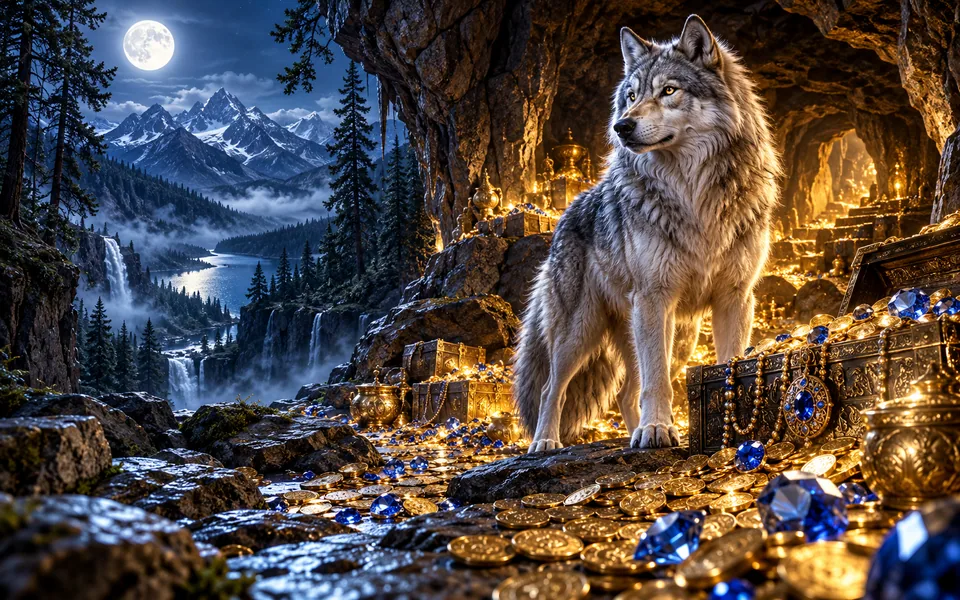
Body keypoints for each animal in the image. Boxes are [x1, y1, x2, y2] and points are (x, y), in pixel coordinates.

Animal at [514, 15, 781, 452]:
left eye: (668, 90)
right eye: (632, 95)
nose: (622, 126)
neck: (694, 194)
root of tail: (567, 212)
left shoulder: (735, 298)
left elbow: (730, 365)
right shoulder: (655, 298)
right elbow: (655, 381)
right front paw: (656, 429)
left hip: (675, 332)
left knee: (625, 392)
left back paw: (633, 432)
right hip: (581, 331)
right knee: (554, 387)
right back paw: (546, 442)